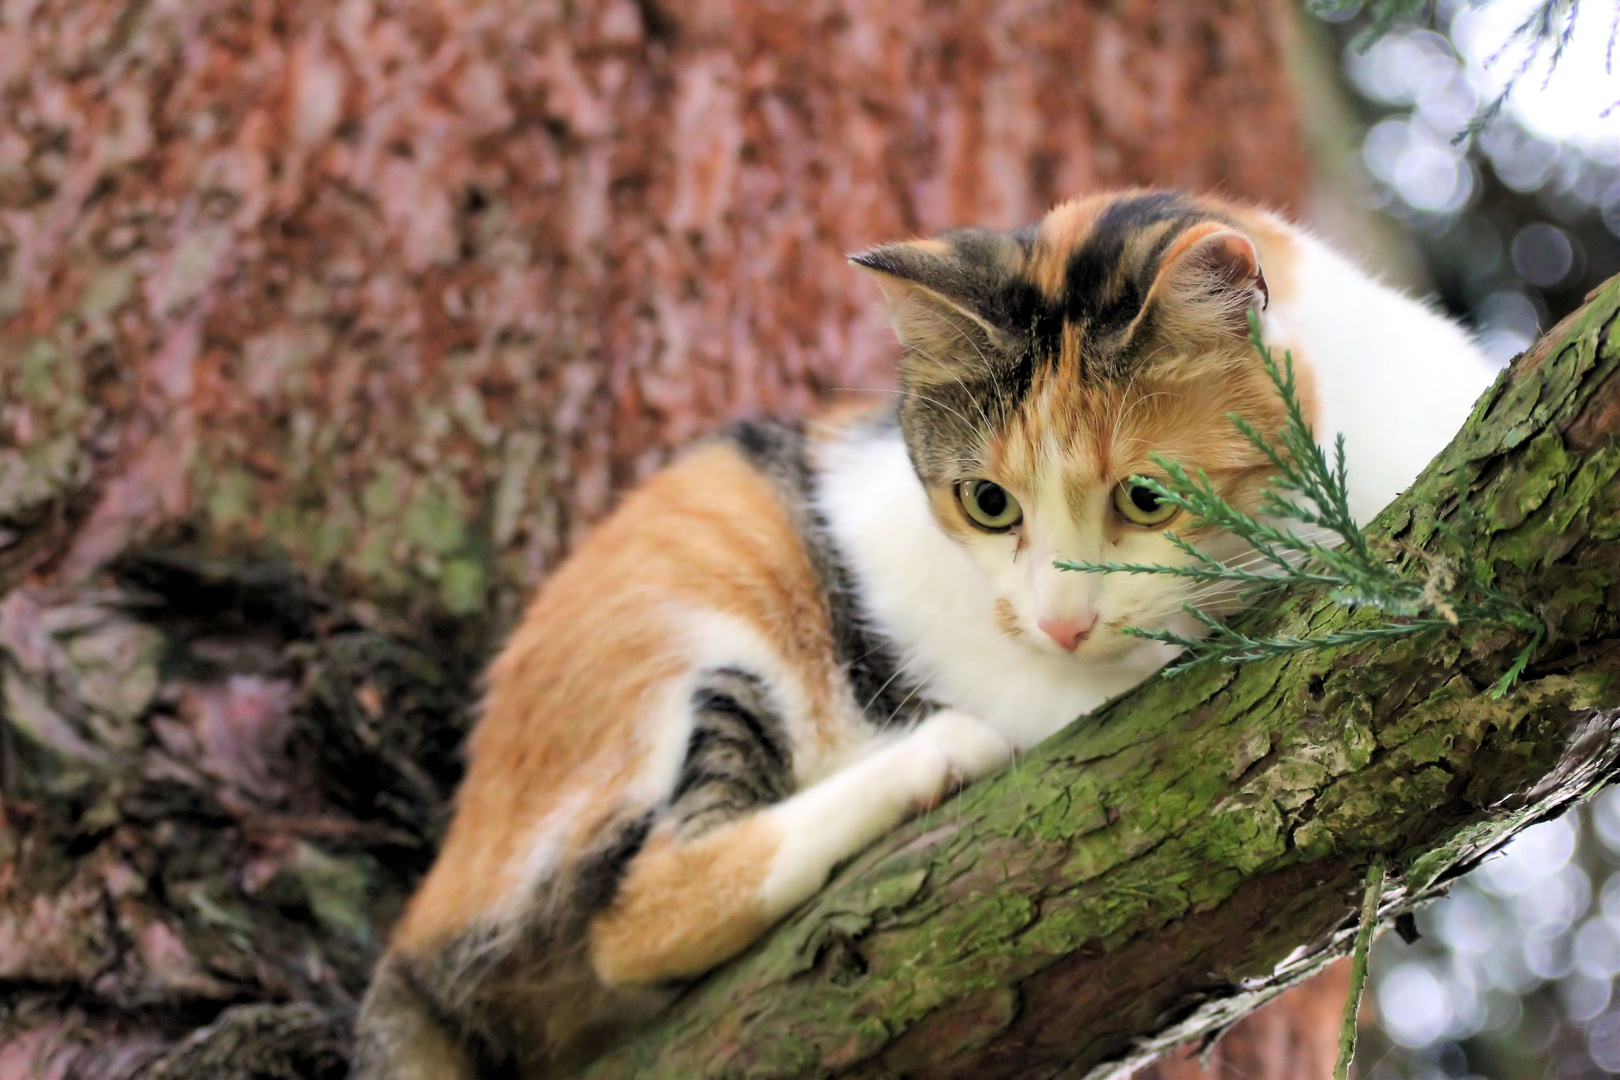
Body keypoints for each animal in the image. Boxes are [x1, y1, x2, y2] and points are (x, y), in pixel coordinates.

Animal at [351, 190, 1490, 1075]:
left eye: (1148, 498)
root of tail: (414, 935)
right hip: (705, 580)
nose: (1060, 622)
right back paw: (935, 757)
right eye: (988, 503)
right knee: (636, 914)